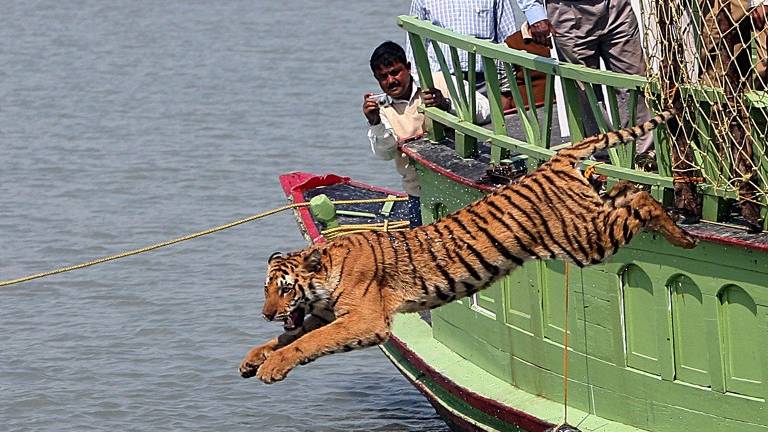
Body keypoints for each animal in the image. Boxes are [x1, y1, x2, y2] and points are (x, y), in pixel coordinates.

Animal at [239, 108, 698, 383]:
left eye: (284, 289)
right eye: (265, 289)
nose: (265, 314)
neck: (325, 276)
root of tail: (555, 158)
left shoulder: (364, 321)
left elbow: (306, 343)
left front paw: (272, 367)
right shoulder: (326, 315)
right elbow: (287, 337)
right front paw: (253, 357)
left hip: (585, 241)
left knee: (640, 200)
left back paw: (685, 236)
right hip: (588, 222)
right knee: (625, 190)